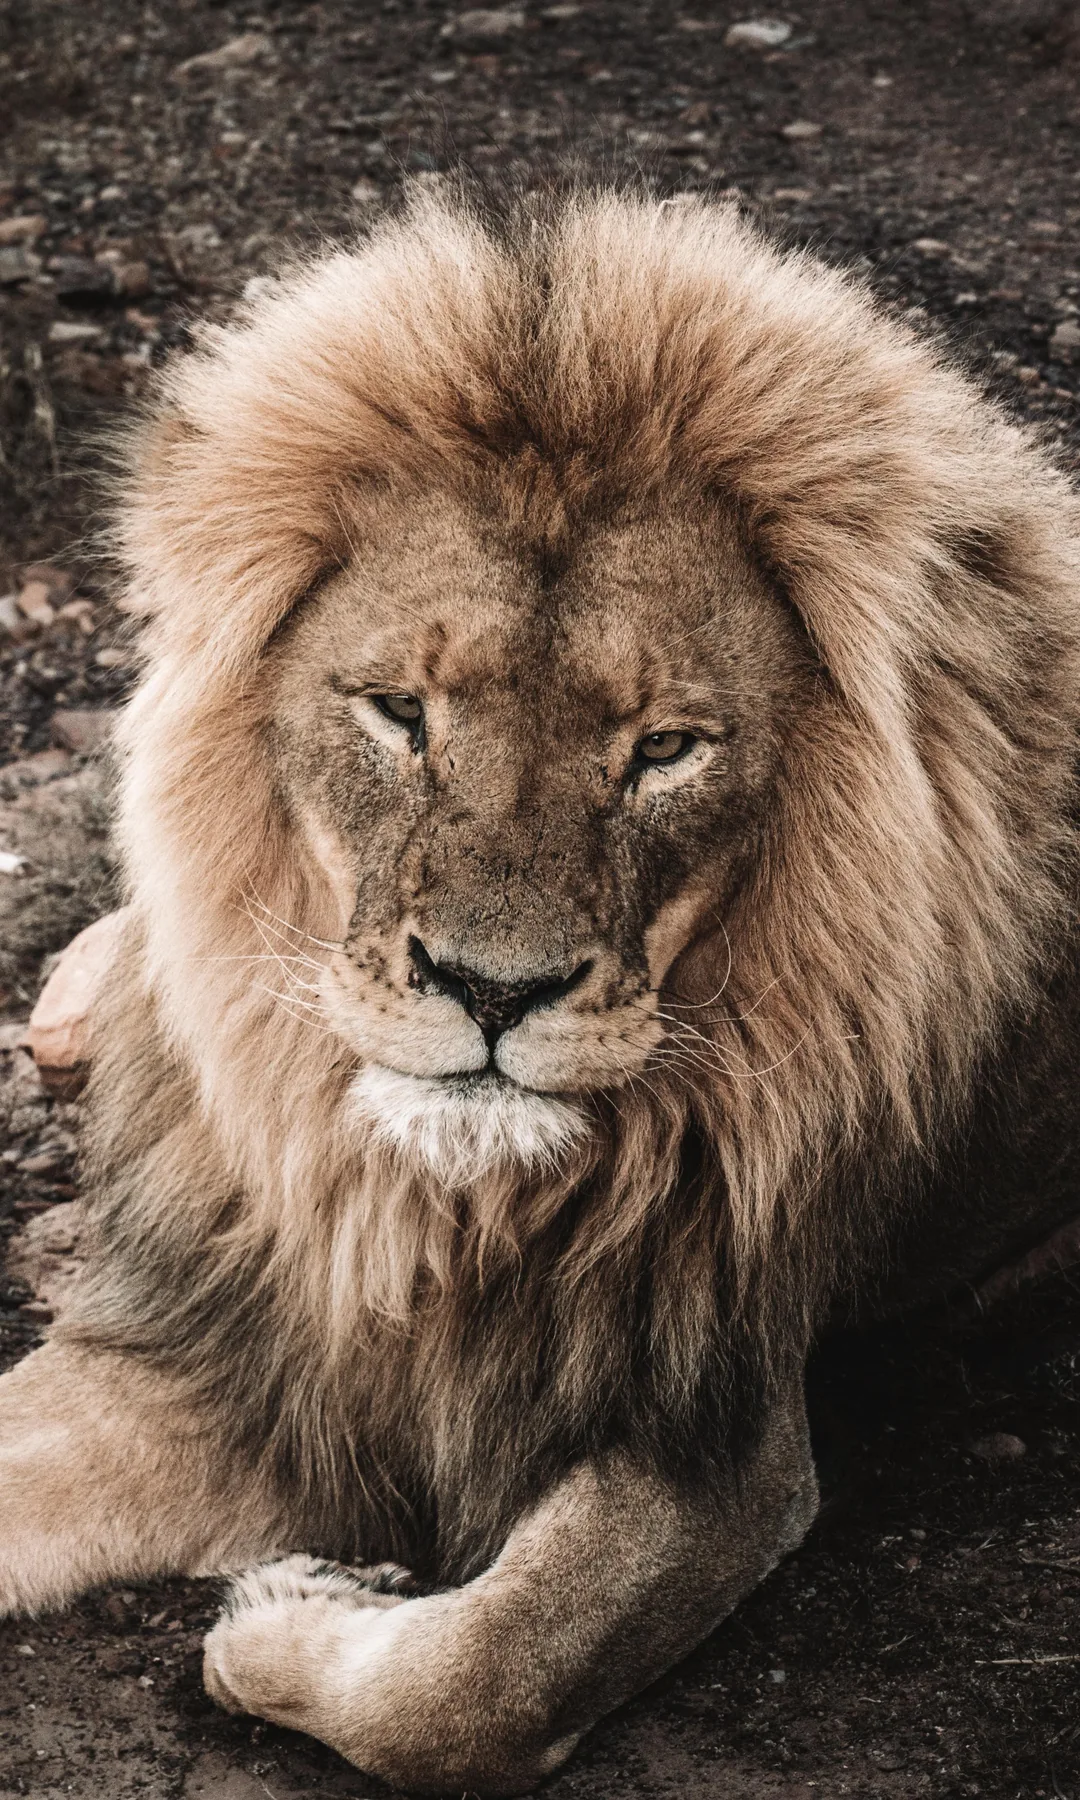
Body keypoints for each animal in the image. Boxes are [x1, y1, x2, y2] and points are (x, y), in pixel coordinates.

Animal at [2, 186, 1080, 1796]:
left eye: (666, 748)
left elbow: (480, 1679)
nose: (491, 992)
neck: (429, 1200)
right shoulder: (222, 1339)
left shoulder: (709, 1426)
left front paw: (296, 1608)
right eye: (400, 712)